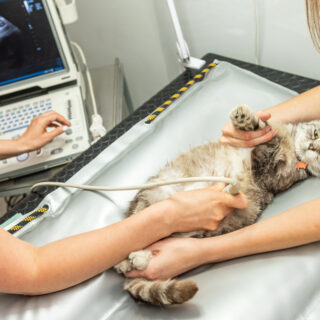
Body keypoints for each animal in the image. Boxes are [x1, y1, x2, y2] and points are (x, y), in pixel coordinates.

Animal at [114, 104, 318, 304]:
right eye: (316, 134)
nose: (312, 146)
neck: (291, 145)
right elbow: (265, 130)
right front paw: (245, 118)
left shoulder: (271, 171)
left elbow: (269, 141)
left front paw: (249, 120)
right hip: (149, 195)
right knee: (137, 222)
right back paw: (124, 261)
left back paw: (136, 259)